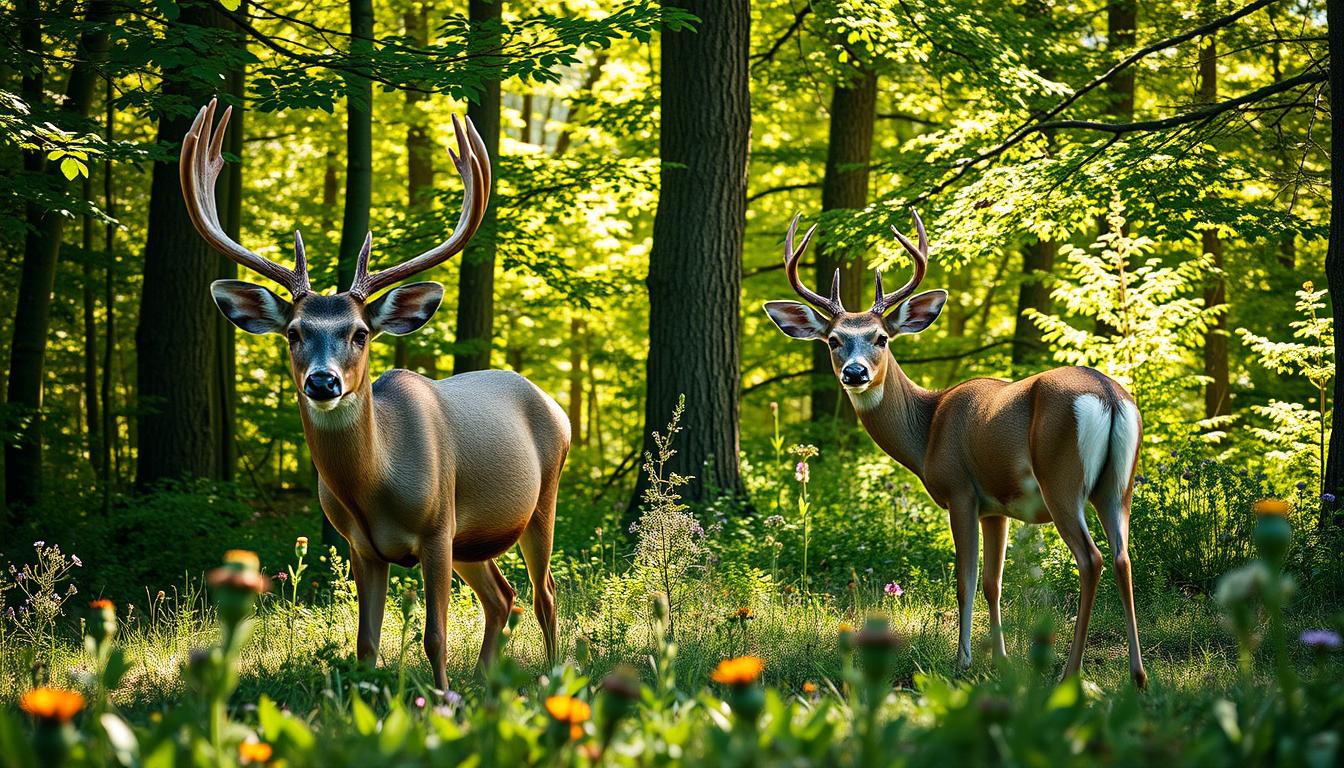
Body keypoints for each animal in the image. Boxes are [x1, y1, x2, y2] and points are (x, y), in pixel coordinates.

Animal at [182, 97, 567, 688]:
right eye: (294, 333)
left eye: (360, 333)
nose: (323, 381)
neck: (377, 483)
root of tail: (555, 406)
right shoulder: (360, 546)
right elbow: (365, 643)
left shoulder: (437, 530)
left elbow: (434, 637)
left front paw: (441, 699)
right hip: (475, 540)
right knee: (504, 598)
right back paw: (486, 683)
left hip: (541, 501)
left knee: (544, 594)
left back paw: (553, 674)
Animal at [768, 208, 1145, 685]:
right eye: (834, 340)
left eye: (881, 338)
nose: (855, 372)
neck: (928, 427)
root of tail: (1108, 395)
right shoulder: (997, 507)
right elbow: (992, 583)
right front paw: (1000, 660)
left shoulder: (960, 490)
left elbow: (965, 581)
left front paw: (963, 661)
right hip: (1117, 487)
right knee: (1123, 558)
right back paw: (1137, 676)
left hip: (1062, 480)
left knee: (1091, 558)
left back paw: (1069, 673)